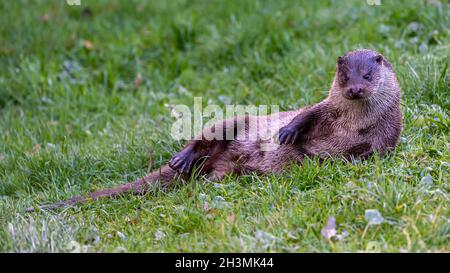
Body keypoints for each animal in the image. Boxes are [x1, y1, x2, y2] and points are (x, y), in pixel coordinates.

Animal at [26, 48, 402, 210]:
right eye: (345, 76)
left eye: (368, 75)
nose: (355, 88)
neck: (352, 125)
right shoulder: (325, 108)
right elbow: (306, 114)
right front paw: (288, 134)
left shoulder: (384, 138)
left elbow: (365, 155)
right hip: (235, 122)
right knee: (204, 136)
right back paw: (182, 159)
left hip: (225, 170)